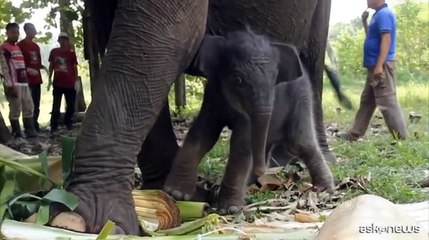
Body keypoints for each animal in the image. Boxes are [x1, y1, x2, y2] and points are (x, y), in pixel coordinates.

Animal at [162, 28, 332, 214]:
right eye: (238, 79)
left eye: (275, 80)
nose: (262, 171)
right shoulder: (213, 94)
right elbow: (203, 133)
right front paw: (176, 194)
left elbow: (241, 144)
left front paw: (229, 210)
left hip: (302, 98)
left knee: (300, 142)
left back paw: (324, 189)